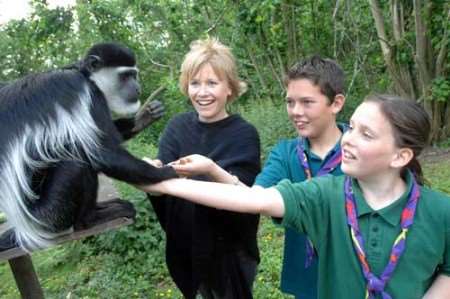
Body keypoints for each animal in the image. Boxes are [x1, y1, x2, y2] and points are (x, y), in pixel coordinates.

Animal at [0, 42, 178, 252]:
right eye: (125, 76)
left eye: (134, 75)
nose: (137, 88)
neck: (86, 75)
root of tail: (24, 230)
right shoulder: (88, 95)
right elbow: (104, 153)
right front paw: (169, 172)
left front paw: (143, 118)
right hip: (47, 216)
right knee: (77, 161)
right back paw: (90, 219)